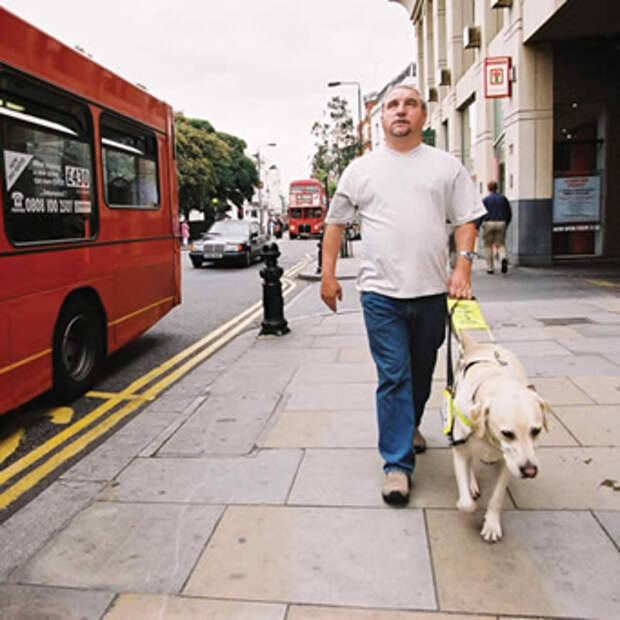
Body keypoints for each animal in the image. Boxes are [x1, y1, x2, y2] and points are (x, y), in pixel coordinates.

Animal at [450, 334, 548, 544]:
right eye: (507, 433)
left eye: (536, 430)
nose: (530, 471)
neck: (492, 379)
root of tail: (478, 346)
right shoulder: (460, 449)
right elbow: (466, 504)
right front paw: (469, 503)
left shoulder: (508, 462)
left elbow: (497, 497)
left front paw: (491, 524)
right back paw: (472, 485)